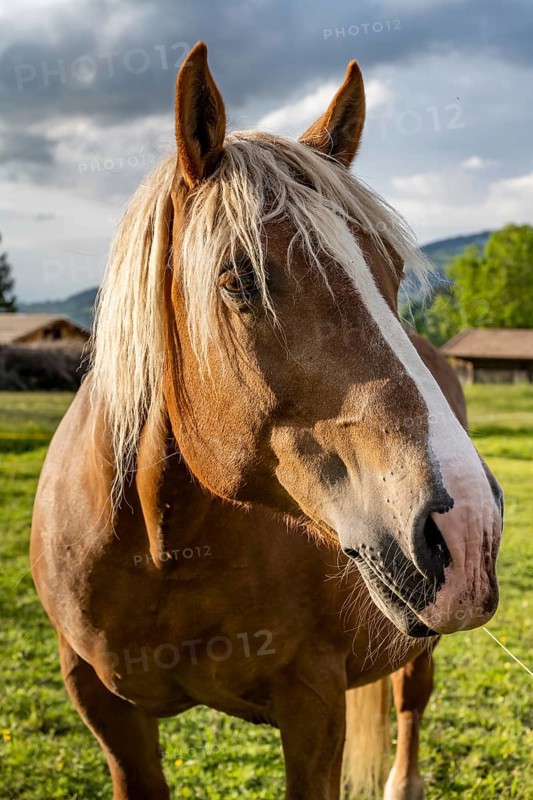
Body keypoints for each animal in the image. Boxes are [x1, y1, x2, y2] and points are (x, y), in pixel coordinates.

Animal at [31, 42, 503, 800]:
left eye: (393, 274)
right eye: (238, 279)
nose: (467, 528)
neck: (163, 546)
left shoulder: (313, 703)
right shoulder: (102, 705)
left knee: (411, 700)